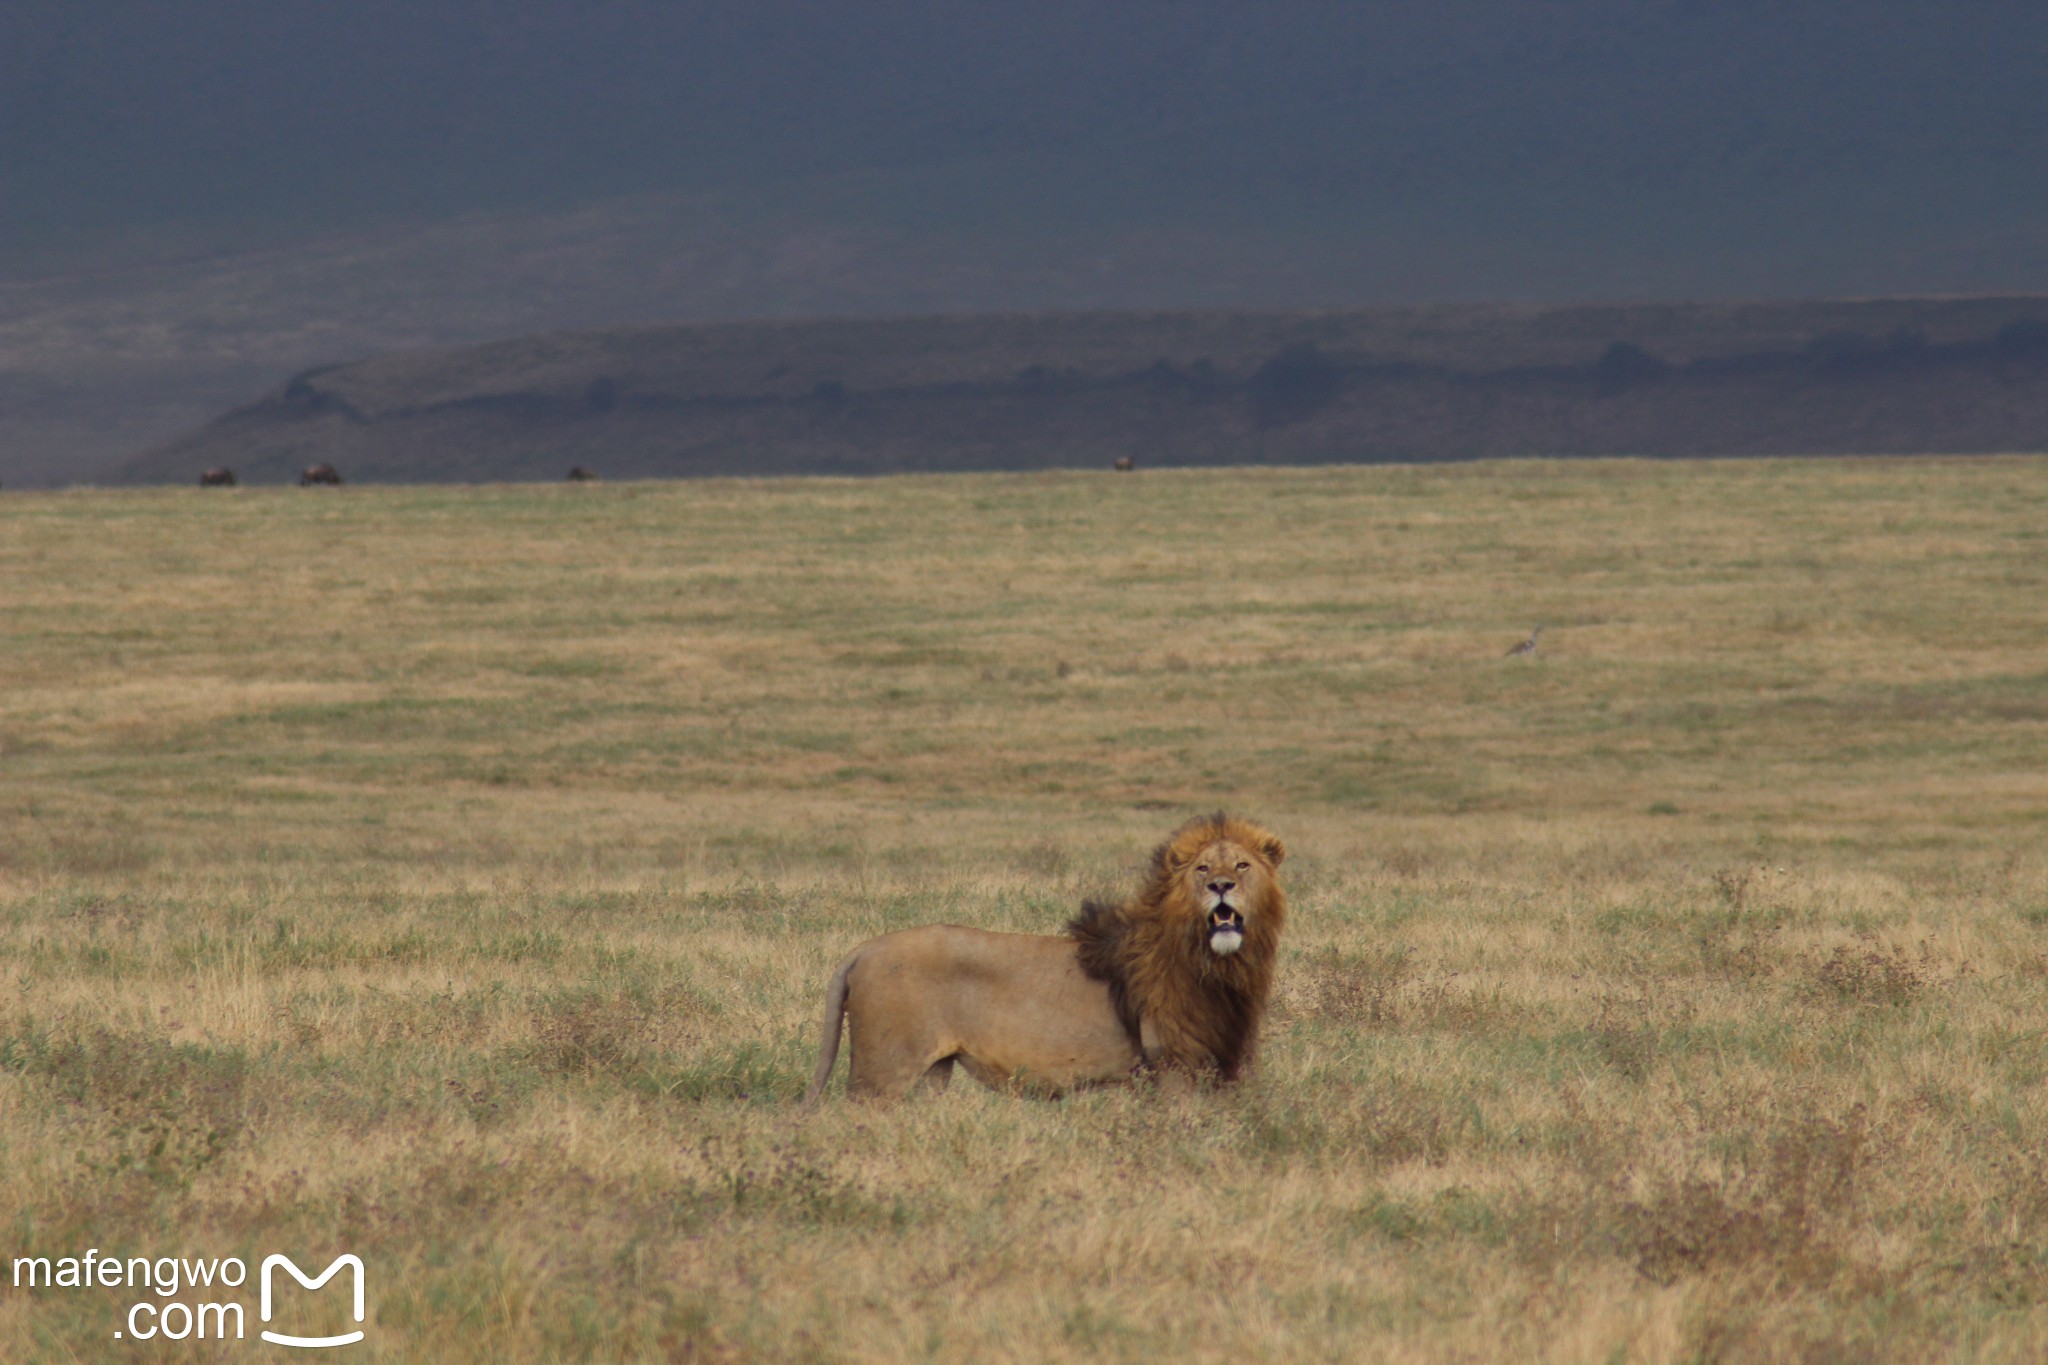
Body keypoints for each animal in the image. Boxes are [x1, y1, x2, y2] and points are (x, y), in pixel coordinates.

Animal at [794, 818, 1277, 1105]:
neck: (1220, 966)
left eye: (1242, 865)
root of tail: (864, 948)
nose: (1221, 886)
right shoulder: (1174, 1066)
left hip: (933, 1072)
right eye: (1201, 869)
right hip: (880, 1075)